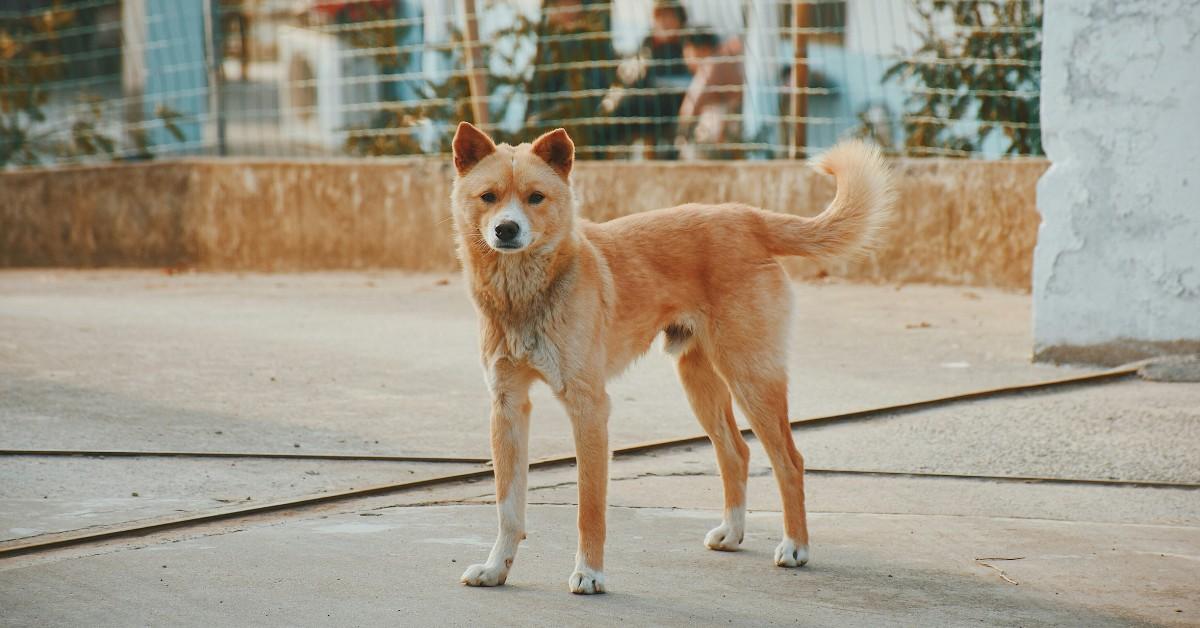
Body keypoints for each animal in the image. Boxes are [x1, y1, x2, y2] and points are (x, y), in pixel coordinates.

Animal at [451, 121, 892, 595]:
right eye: (488, 197)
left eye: (536, 197)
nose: (506, 230)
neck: (524, 293)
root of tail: (747, 216)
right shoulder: (508, 406)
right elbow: (507, 506)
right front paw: (496, 569)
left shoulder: (589, 407)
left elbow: (590, 507)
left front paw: (590, 572)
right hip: (699, 381)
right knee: (736, 452)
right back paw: (732, 533)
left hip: (751, 376)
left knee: (789, 461)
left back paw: (795, 546)